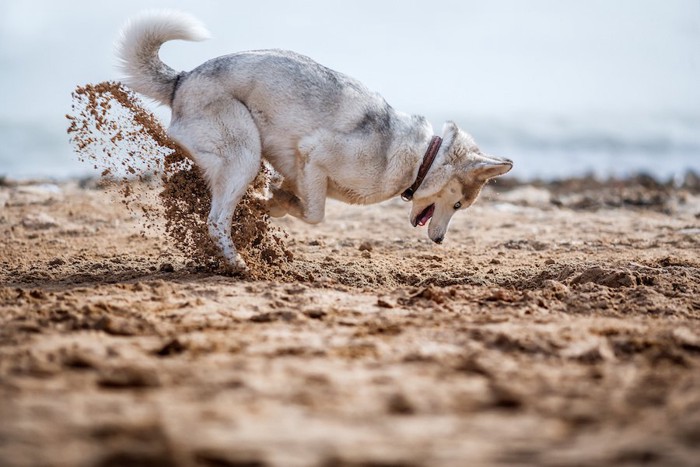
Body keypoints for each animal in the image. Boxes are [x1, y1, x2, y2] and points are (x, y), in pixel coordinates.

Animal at [116, 10, 516, 274]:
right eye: (459, 204)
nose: (439, 242)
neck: (421, 159)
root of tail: (182, 80)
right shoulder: (314, 155)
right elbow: (314, 214)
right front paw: (270, 204)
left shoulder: (302, 171)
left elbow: (295, 203)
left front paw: (272, 201)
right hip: (245, 154)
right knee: (215, 221)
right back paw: (239, 263)